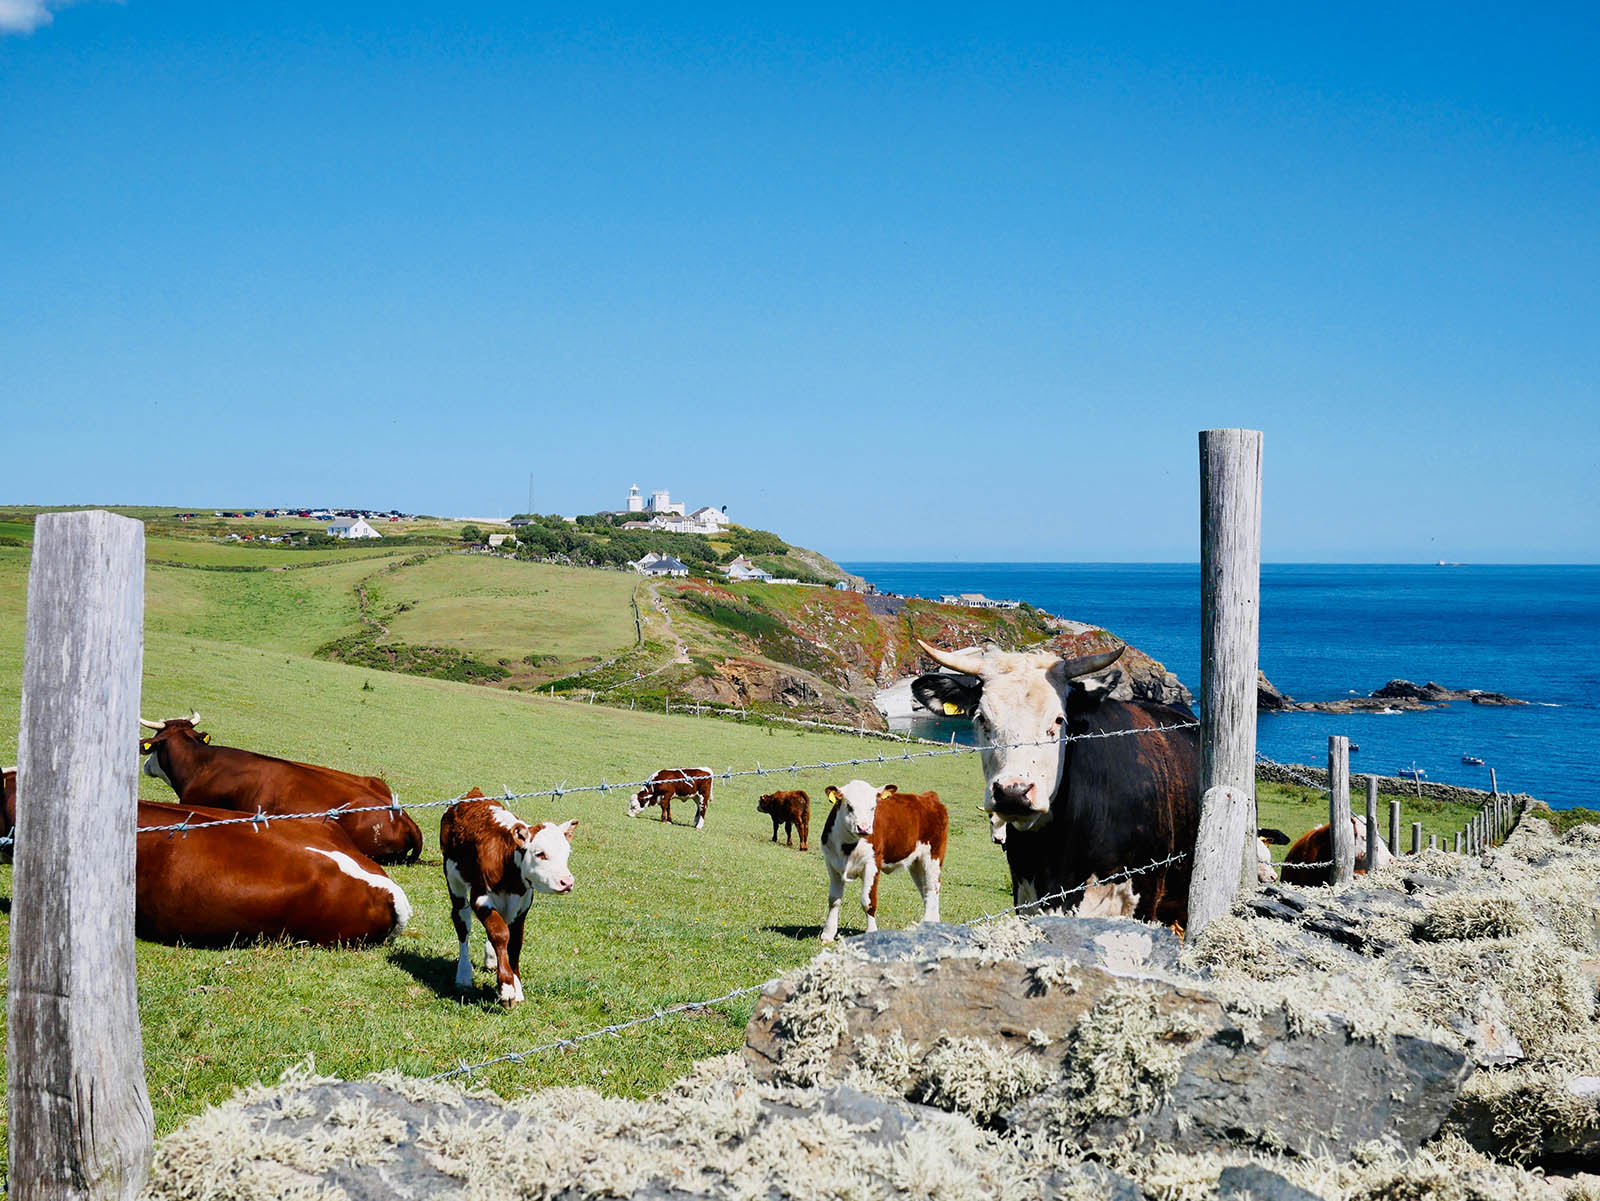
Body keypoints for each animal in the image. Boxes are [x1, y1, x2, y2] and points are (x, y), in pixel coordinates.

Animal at [441, 790, 579, 1004]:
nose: (567, 882)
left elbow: (514, 943)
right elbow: (500, 934)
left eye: (567, 853)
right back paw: (463, 975)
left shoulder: (522, 906)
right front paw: (506, 988)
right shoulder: (480, 898)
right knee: (462, 924)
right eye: (540, 854)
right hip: (454, 883)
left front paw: (517, 986)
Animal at [819, 780, 940, 946]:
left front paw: (871, 932)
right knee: (926, 892)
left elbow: (868, 901)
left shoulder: (872, 864)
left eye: (873, 807)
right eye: (849, 806)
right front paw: (828, 934)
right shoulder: (831, 862)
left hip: (933, 858)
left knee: (933, 890)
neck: (848, 846)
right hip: (916, 864)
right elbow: (833, 899)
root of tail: (928, 796)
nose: (863, 828)